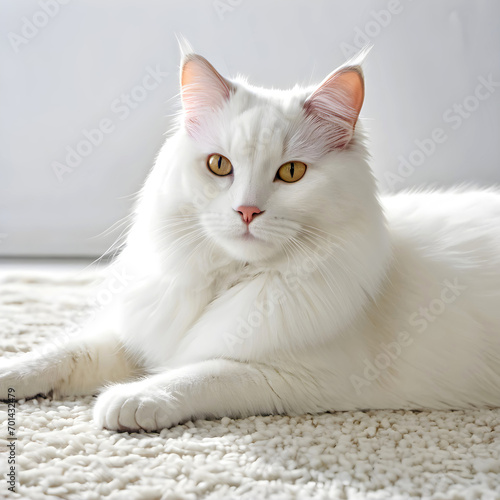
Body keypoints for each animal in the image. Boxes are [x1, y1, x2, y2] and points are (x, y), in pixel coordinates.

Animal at [0, 46, 500, 430]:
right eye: (220, 165)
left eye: (291, 173)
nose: (247, 211)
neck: (226, 280)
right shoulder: (142, 333)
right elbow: (66, 352)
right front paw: (12, 371)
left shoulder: (292, 377)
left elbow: (201, 375)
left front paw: (129, 400)